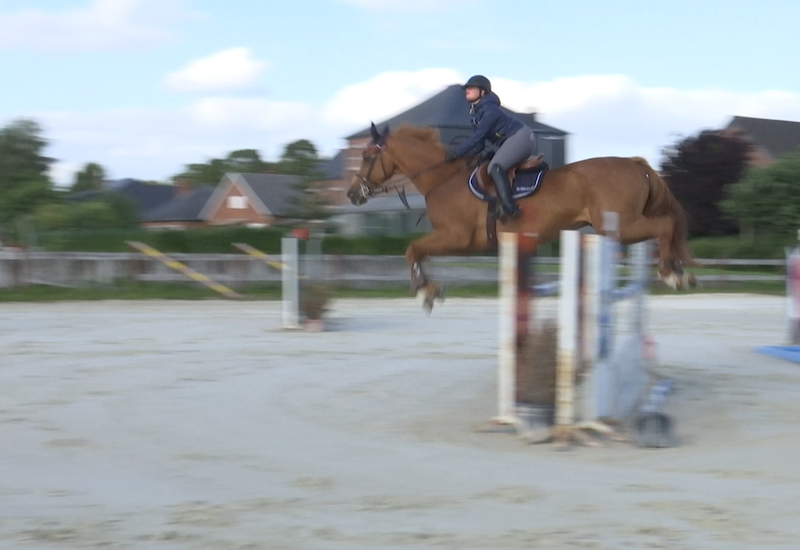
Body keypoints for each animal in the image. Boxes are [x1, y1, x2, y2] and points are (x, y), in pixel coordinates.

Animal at [346, 125, 696, 314]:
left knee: (665, 226)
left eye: (367, 156)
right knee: (668, 227)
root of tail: (635, 163)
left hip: (622, 226)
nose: (352, 194)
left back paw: (671, 274)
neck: (443, 179)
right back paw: (680, 271)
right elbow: (415, 251)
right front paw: (427, 289)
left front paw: (425, 291)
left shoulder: (458, 238)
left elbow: (412, 250)